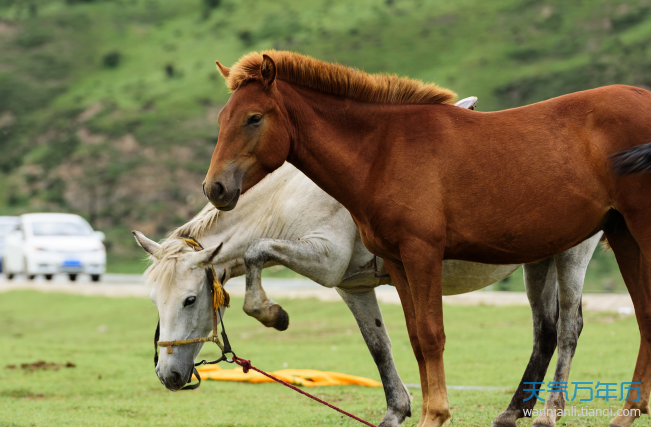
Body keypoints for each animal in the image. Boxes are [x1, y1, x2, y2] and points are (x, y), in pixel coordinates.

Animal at [206, 50, 651, 427]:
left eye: (254, 118)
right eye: (221, 118)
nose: (216, 188)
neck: (383, 151)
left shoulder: (421, 255)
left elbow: (433, 335)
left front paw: (435, 414)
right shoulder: (398, 263)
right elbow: (415, 337)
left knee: (572, 327)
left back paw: (552, 413)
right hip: (614, 240)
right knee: (633, 318)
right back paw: (623, 412)